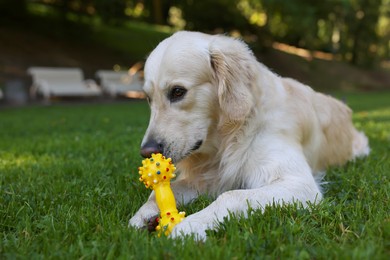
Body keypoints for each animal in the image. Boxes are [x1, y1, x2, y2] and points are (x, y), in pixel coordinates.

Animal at [129, 31, 370, 241]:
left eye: (178, 92)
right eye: (148, 98)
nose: (146, 152)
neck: (231, 135)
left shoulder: (299, 184)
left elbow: (231, 196)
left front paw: (190, 226)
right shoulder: (209, 177)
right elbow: (165, 191)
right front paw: (143, 214)